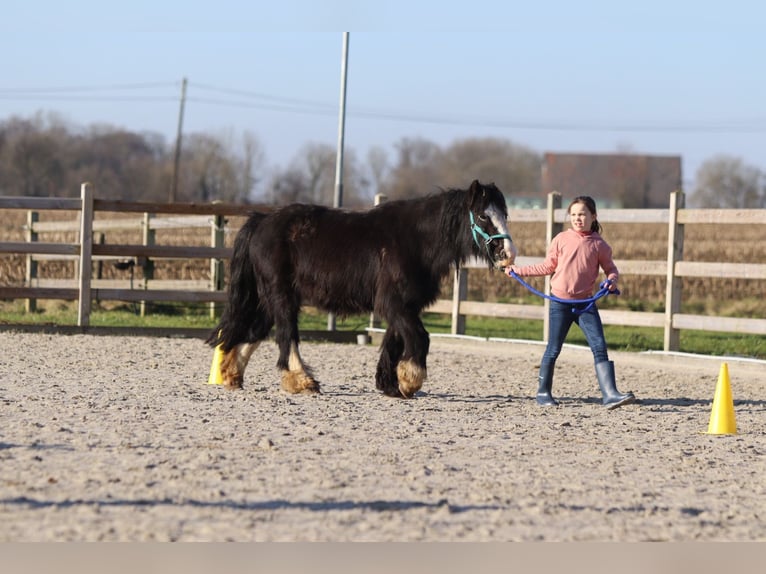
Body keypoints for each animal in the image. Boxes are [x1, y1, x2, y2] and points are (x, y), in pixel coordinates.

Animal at [206, 181, 516, 400]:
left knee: (255, 332)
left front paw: (391, 384)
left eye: (505, 214)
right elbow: (419, 337)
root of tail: (261, 221)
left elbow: (394, 340)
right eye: (483, 216)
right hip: (282, 296)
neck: (415, 240)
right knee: (286, 335)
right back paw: (302, 380)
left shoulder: (403, 304)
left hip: (271, 298)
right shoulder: (393, 302)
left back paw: (231, 374)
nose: (508, 255)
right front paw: (410, 380)